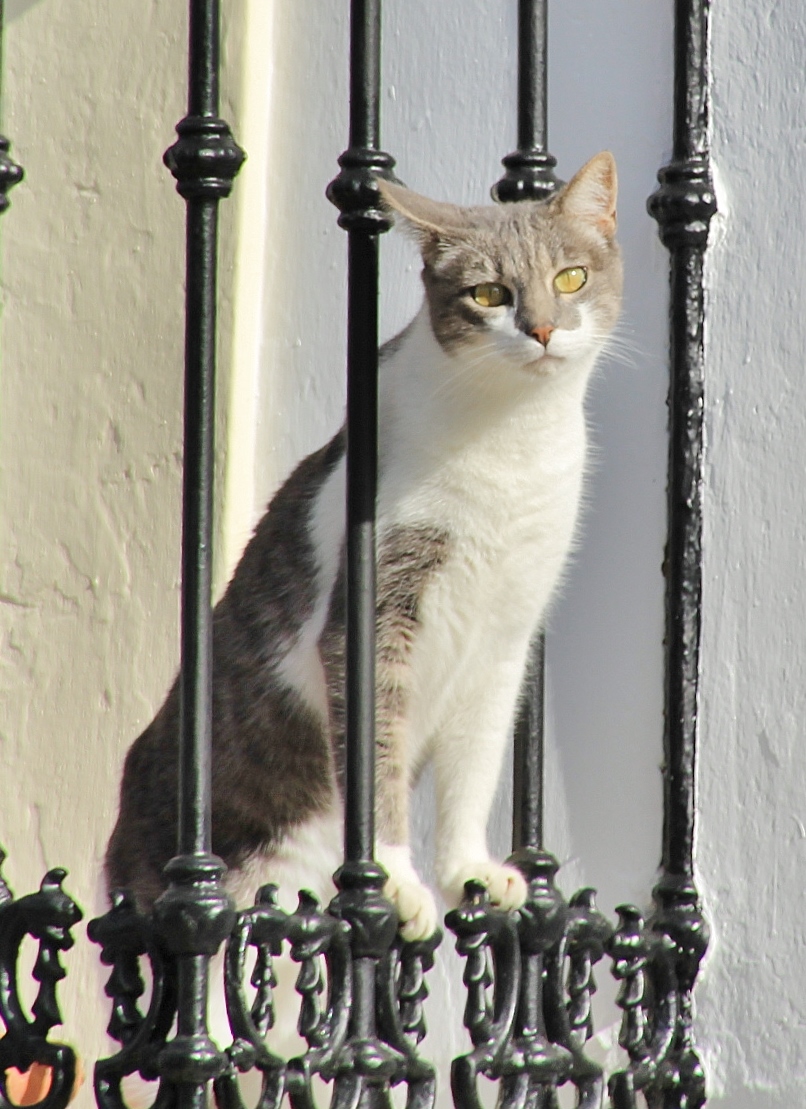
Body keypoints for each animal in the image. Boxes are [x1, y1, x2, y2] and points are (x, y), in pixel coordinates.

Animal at [105, 151, 625, 940]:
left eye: (571, 277)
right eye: (489, 292)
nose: (540, 328)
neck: (509, 438)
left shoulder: (507, 634)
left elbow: (476, 764)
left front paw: (469, 869)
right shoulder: (373, 612)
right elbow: (377, 754)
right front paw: (400, 883)